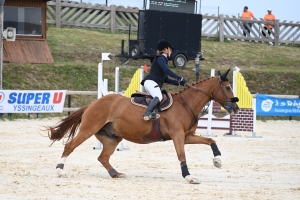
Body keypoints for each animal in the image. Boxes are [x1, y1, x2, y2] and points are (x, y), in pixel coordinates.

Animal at [47, 69, 239, 184]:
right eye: (228, 87)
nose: (236, 108)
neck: (186, 104)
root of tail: (92, 104)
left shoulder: (187, 136)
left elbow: (211, 140)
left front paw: (217, 161)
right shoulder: (177, 135)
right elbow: (182, 155)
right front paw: (189, 177)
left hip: (112, 138)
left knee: (103, 157)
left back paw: (116, 174)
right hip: (89, 129)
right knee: (70, 146)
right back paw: (59, 171)